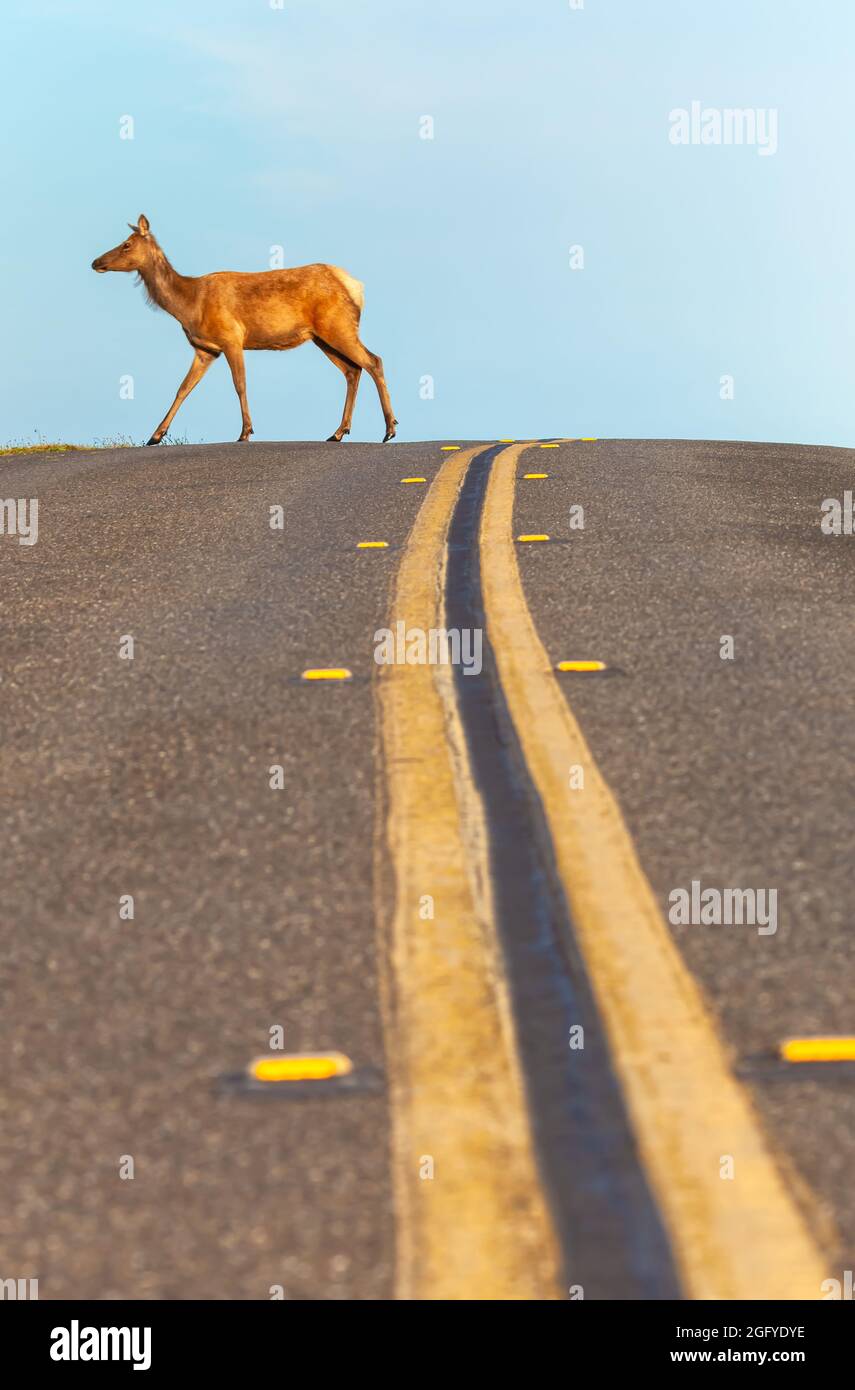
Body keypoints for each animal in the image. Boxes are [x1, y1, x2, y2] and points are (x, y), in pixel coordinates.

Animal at [91, 211, 400, 444]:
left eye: (126, 244)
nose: (96, 262)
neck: (189, 305)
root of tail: (355, 286)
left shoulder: (232, 338)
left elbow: (239, 384)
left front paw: (245, 432)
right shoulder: (205, 350)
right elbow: (182, 388)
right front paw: (155, 435)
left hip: (338, 325)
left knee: (374, 361)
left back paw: (390, 428)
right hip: (321, 336)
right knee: (352, 370)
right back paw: (338, 432)